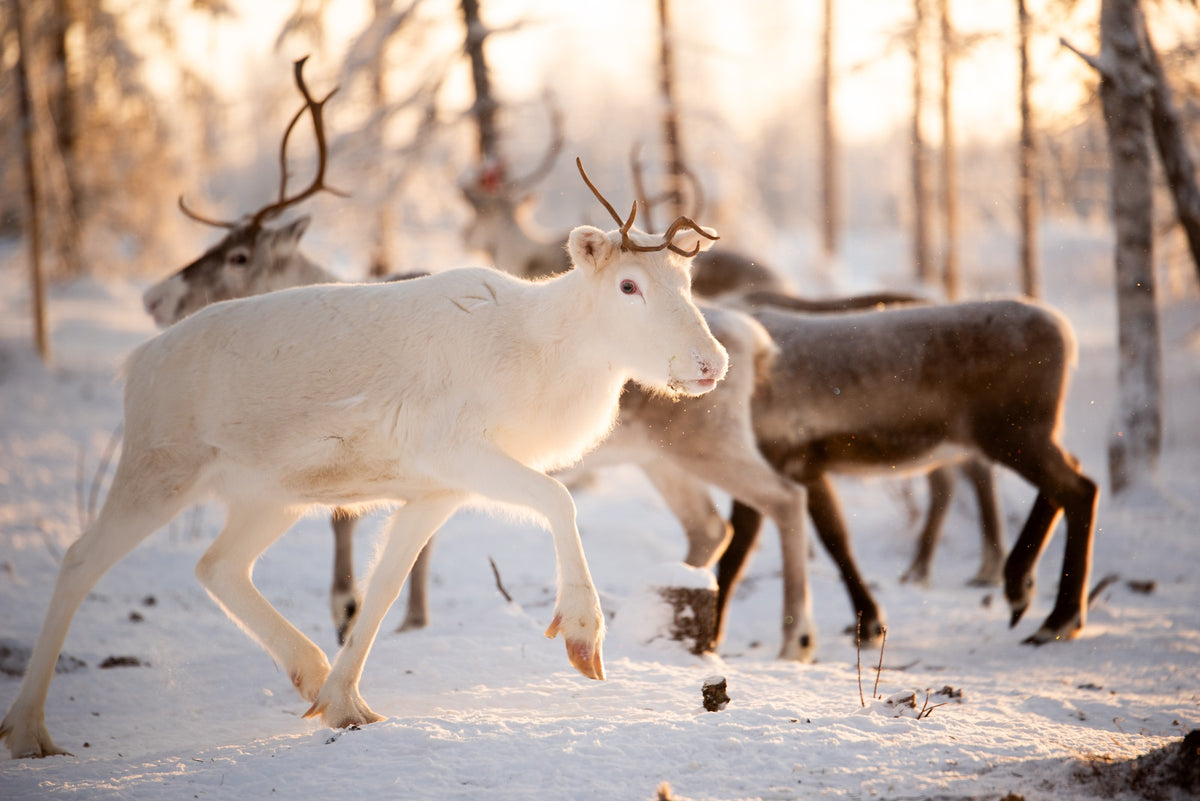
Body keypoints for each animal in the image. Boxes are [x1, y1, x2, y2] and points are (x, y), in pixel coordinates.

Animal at [0, 147, 729, 758]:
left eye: (688, 280)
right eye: (629, 285)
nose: (710, 362)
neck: (545, 354)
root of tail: (135, 363)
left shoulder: (437, 488)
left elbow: (381, 587)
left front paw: (345, 703)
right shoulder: (458, 450)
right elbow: (559, 498)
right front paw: (582, 635)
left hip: (271, 494)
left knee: (217, 565)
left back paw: (308, 671)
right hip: (161, 468)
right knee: (80, 558)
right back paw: (29, 730)